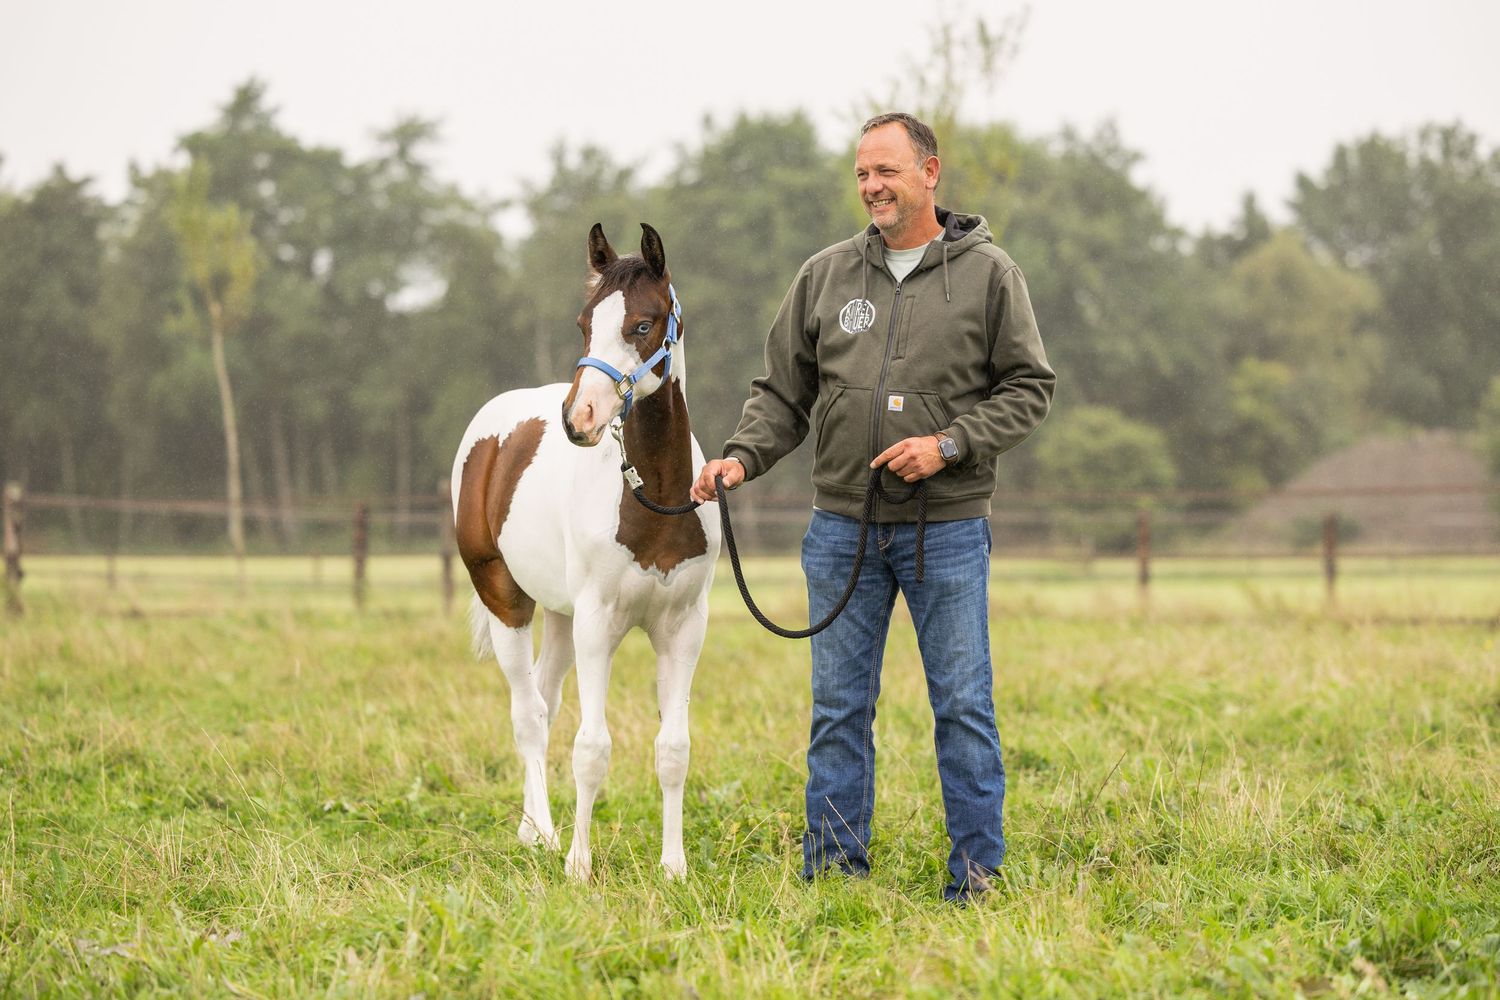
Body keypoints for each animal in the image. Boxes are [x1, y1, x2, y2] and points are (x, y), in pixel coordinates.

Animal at [450, 222, 720, 880]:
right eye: (583, 323)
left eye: (644, 324)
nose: (580, 418)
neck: (655, 499)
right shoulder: (599, 624)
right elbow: (592, 748)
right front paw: (578, 864)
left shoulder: (684, 629)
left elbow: (673, 748)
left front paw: (673, 867)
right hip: (507, 600)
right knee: (528, 716)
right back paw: (546, 836)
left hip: (559, 615)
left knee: (544, 699)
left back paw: (531, 829)